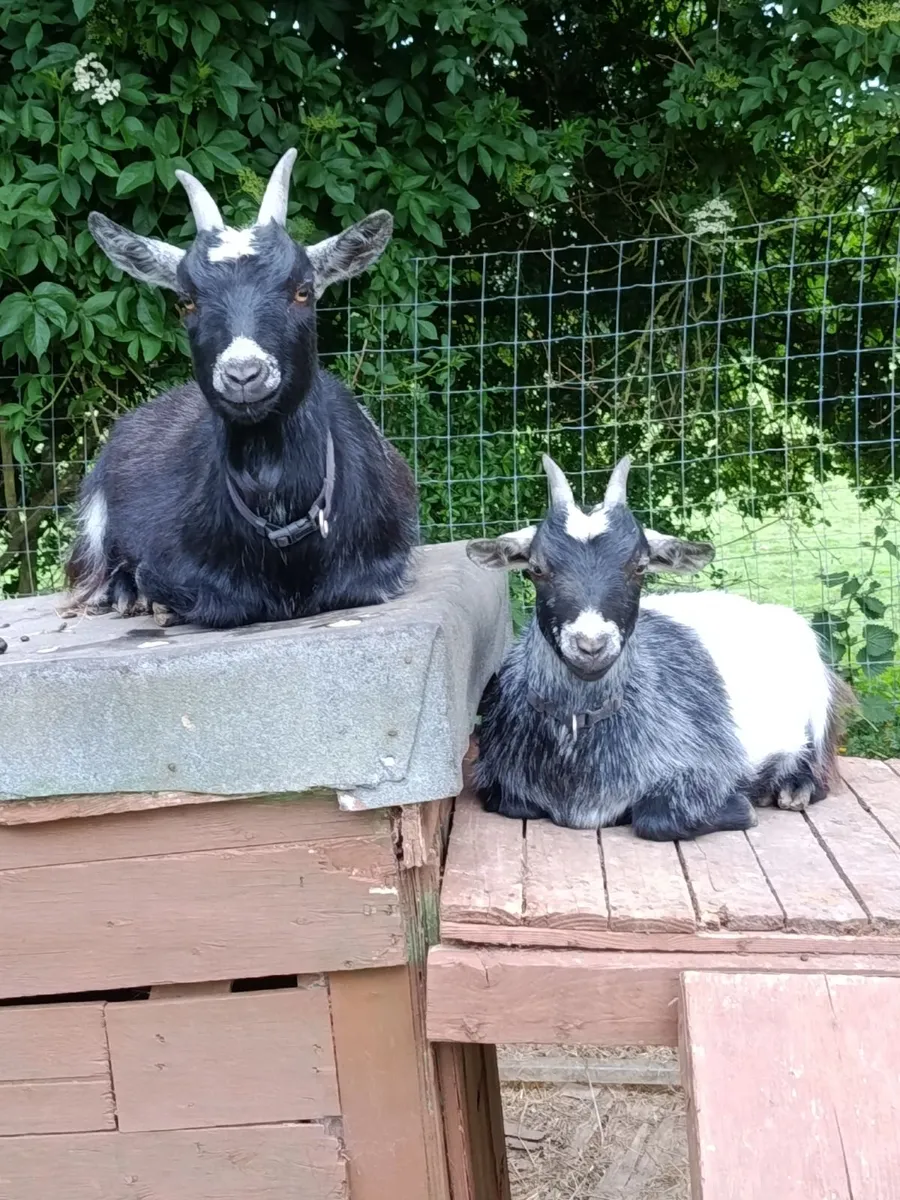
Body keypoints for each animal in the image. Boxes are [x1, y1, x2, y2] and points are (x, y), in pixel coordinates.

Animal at [466, 455, 852, 840]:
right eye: (536, 568)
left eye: (639, 566)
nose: (591, 645)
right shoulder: (500, 781)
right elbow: (514, 803)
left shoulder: (707, 764)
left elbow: (658, 817)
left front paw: (742, 805)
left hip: (816, 707)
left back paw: (793, 788)